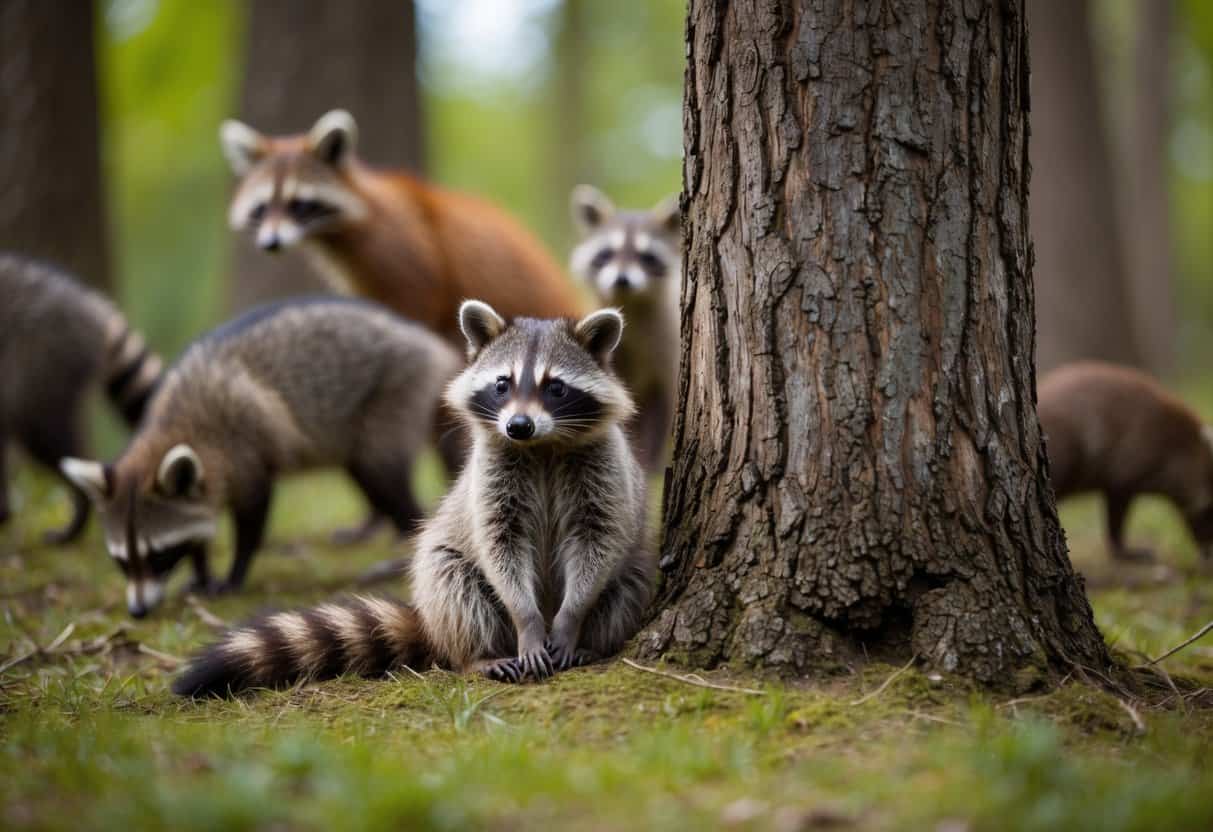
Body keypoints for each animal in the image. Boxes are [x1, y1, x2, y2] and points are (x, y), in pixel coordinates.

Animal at [60, 298, 463, 618]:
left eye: (156, 555)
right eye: (122, 561)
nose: (138, 611)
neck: (174, 425)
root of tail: (430, 343)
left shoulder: (244, 444)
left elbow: (253, 510)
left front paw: (234, 572)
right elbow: (200, 526)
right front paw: (200, 568)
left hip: (396, 389)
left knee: (379, 472)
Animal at [173, 301, 655, 696]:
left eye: (555, 387)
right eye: (503, 384)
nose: (518, 426)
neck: (542, 447)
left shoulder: (604, 472)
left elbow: (598, 541)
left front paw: (570, 621)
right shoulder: (491, 478)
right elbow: (500, 546)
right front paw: (529, 622)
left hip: (632, 569)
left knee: (629, 581)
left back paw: (591, 642)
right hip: (446, 576)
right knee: (453, 584)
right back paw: (478, 655)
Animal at [569, 185, 680, 471]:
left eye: (647, 257)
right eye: (606, 253)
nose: (622, 280)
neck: (629, 303)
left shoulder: (667, 347)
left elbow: (664, 407)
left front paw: (649, 466)